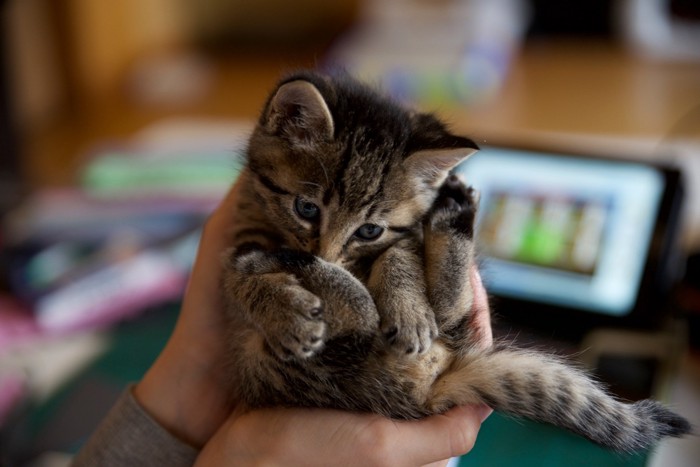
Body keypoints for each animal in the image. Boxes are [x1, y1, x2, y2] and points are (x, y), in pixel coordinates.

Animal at [221, 71, 692, 452]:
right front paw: (283, 310)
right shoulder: (239, 231)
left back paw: (453, 218)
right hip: (278, 366)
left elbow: (401, 252)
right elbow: (235, 277)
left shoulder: (404, 234)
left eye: (369, 230)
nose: (327, 255)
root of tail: (427, 391)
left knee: (431, 310)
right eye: (306, 208)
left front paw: (408, 309)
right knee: (365, 316)